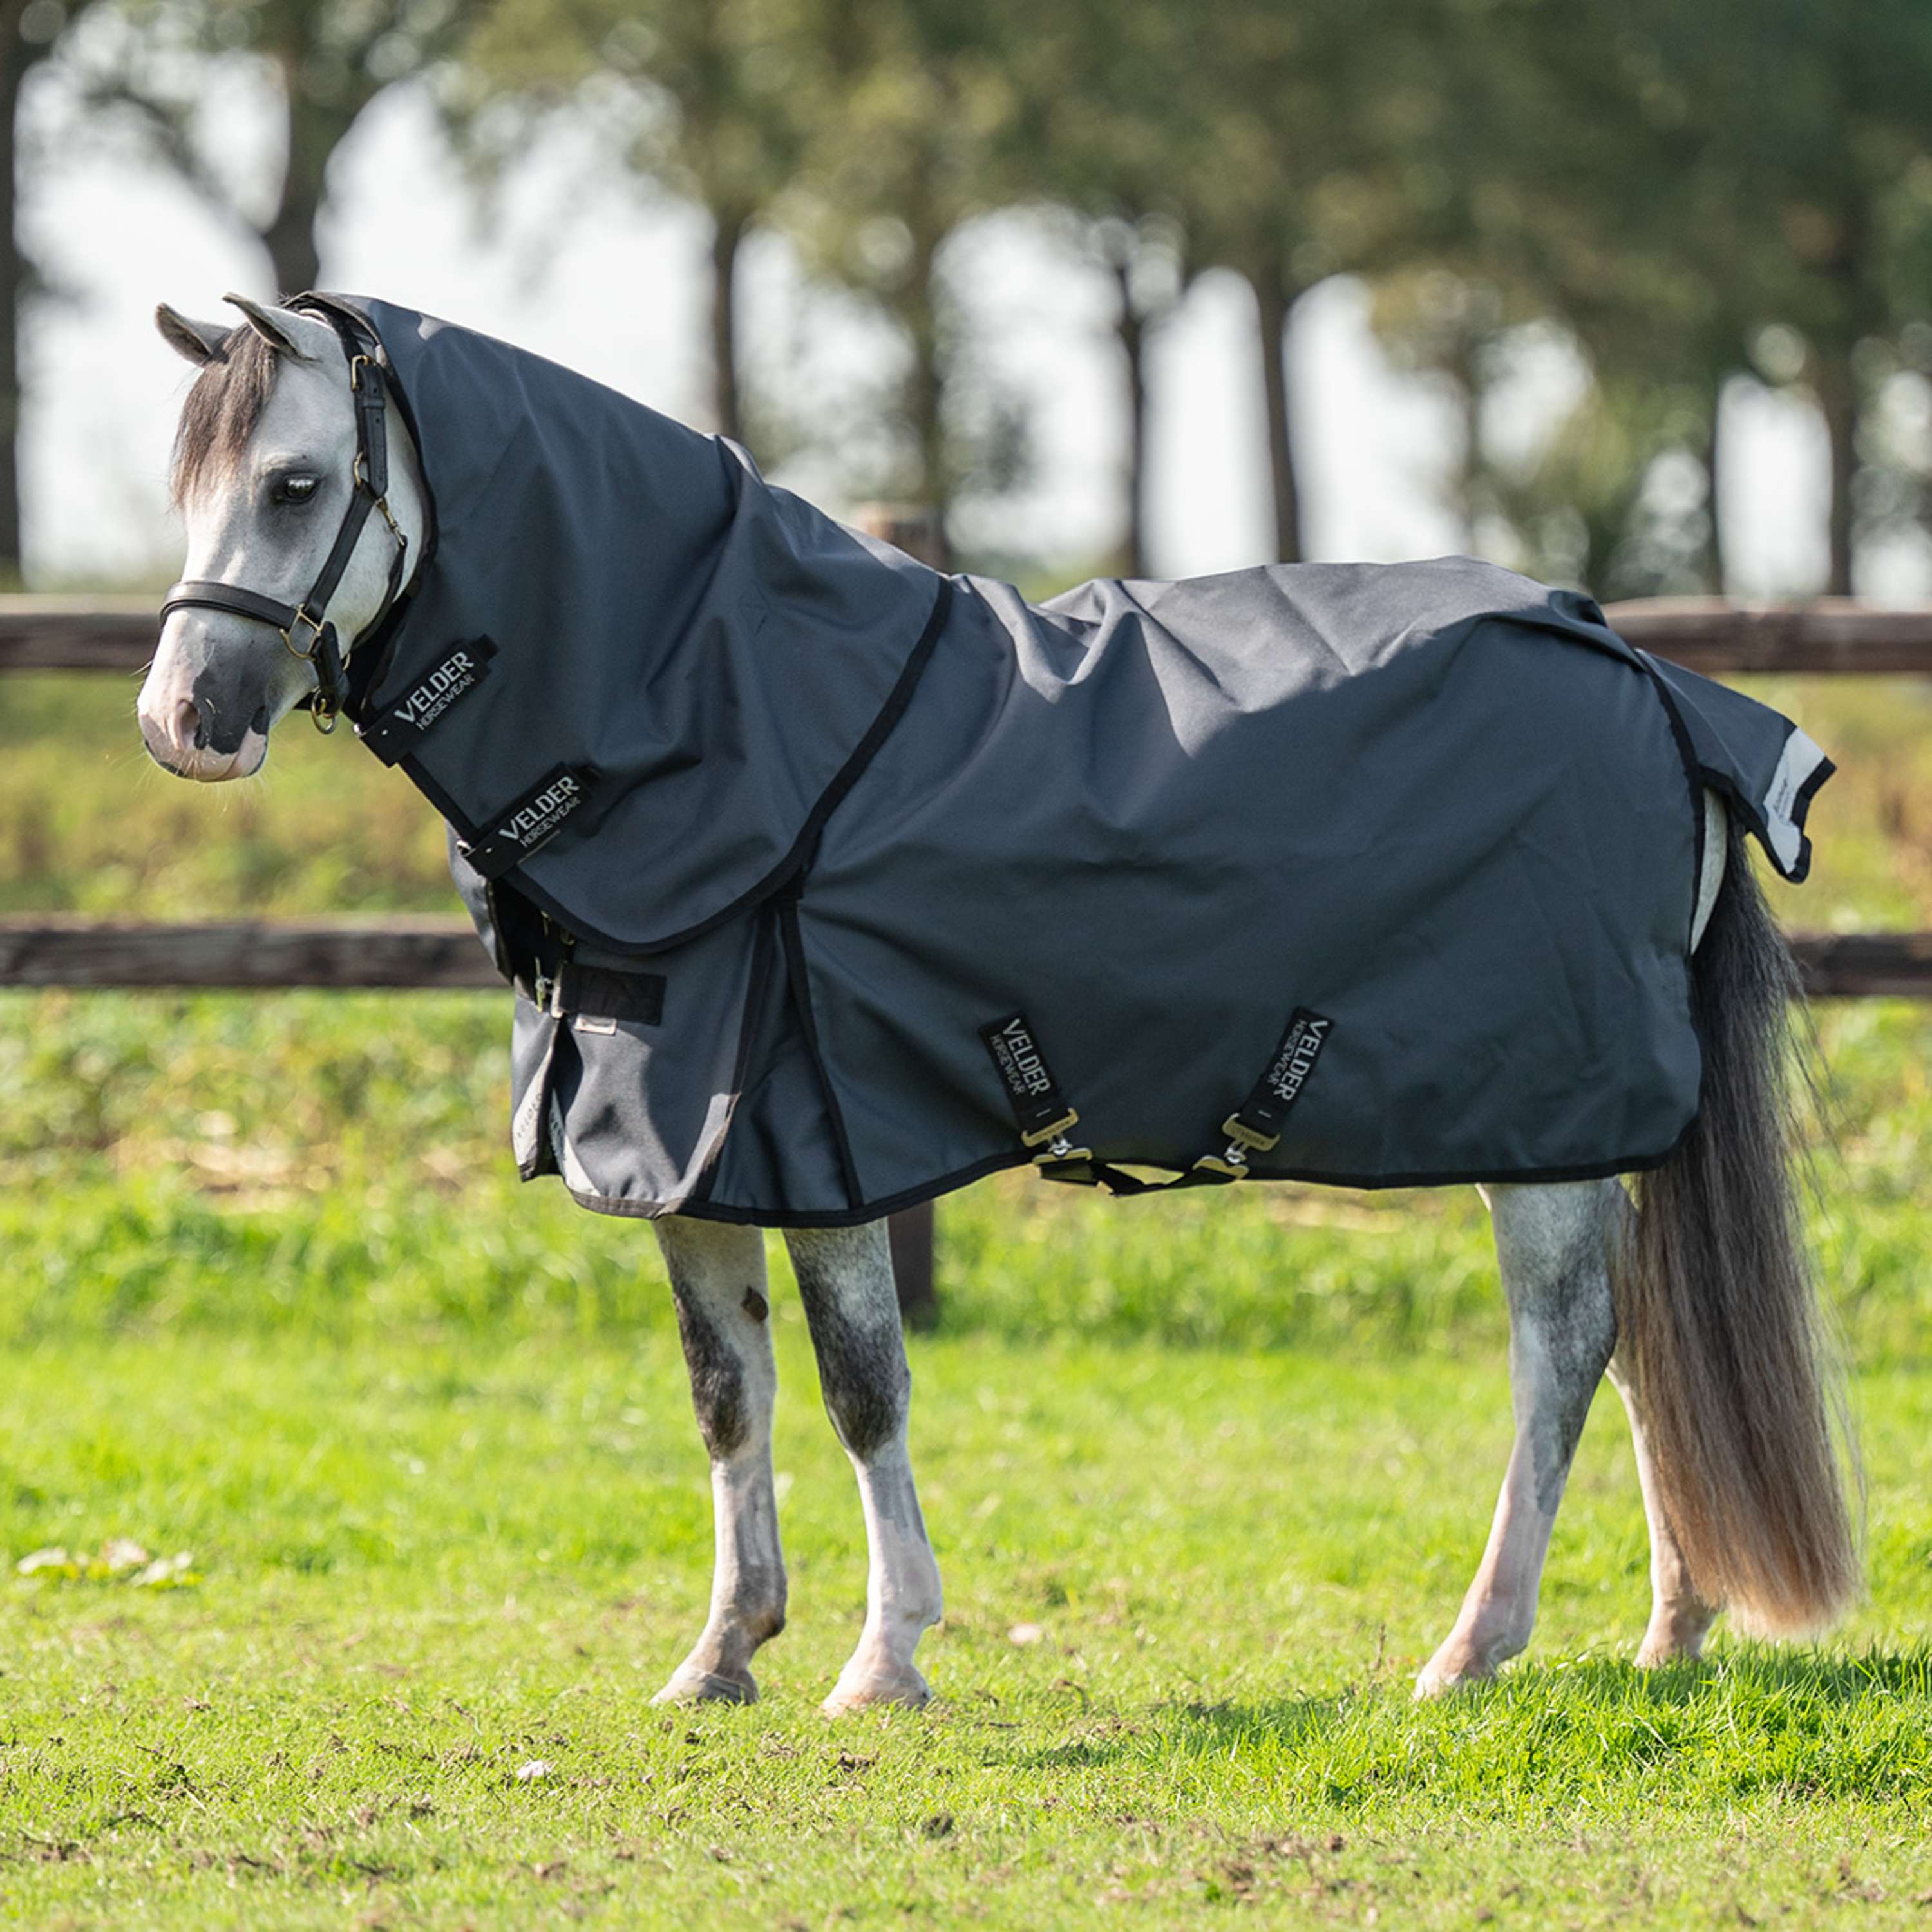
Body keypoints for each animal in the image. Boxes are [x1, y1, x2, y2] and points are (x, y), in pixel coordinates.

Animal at [137, 293, 1856, 1711]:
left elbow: (859, 1390)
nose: (181, 725)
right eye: (188, 488)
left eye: (294, 485)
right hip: (1578, 1130)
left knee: (1561, 1352)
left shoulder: (821, 1146)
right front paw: (721, 1654)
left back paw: (1472, 1649)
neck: (726, 716)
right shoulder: (678, 1158)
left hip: (1539, 1126)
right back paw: (1669, 1632)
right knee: (1636, 1349)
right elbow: (726, 1396)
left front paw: (883, 1660)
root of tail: (1644, 677)